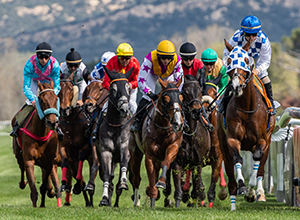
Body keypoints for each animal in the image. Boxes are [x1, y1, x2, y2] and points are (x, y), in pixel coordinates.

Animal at [97, 65, 134, 206]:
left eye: (129, 88)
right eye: (113, 89)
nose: (124, 109)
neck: (116, 125)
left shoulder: (125, 144)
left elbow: (124, 164)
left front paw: (123, 183)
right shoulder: (105, 151)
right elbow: (107, 176)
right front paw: (104, 198)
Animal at [129, 76, 184, 207]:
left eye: (181, 98)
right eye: (165, 99)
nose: (178, 123)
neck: (162, 128)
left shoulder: (173, 146)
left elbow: (166, 162)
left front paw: (162, 182)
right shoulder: (150, 155)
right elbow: (151, 177)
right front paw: (152, 198)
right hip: (135, 152)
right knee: (136, 179)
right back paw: (136, 202)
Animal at [217, 40, 276, 211]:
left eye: (246, 60)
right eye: (230, 60)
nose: (236, 86)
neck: (247, 108)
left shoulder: (262, 140)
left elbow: (256, 159)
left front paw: (251, 192)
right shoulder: (232, 139)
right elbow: (238, 159)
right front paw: (243, 187)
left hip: (268, 142)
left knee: (261, 168)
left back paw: (260, 193)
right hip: (223, 145)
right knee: (230, 175)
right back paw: (233, 204)